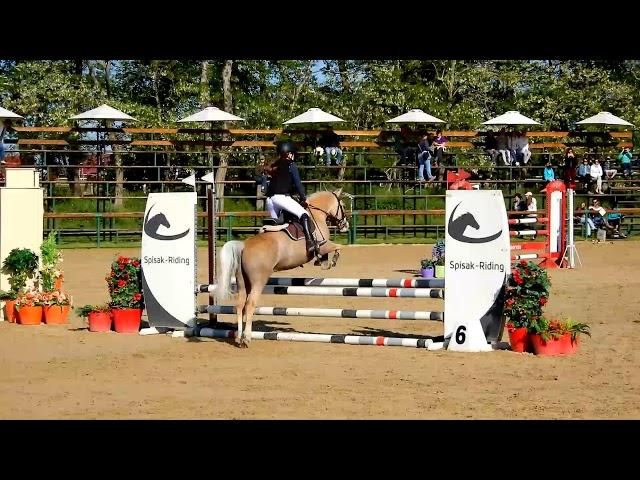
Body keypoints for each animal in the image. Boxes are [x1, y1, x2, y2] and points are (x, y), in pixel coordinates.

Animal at [215, 189, 348, 346]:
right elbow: (339, 247)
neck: (316, 215)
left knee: (240, 305)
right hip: (259, 281)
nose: (345, 225)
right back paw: (247, 338)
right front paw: (331, 261)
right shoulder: (324, 245)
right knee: (250, 304)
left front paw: (323, 262)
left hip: (242, 281)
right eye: (343, 206)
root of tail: (243, 246)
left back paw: (239, 337)